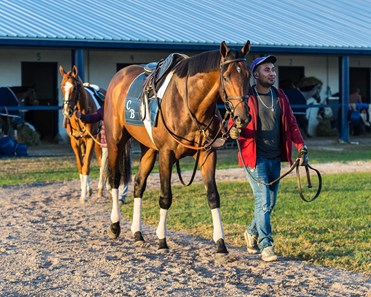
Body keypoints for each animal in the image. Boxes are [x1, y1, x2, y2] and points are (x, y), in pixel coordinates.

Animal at [59, 66, 104, 202]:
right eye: (62, 86)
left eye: (74, 87)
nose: (67, 111)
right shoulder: (75, 142)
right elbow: (81, 165)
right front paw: (85, 191)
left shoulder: (90, 140)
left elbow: (86, 166)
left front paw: (83, 196)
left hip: (100, 142)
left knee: (102, 162)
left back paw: (102, 189)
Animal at [104, 40, 253, 256]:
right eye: (226, 77)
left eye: (248, 75)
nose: (243, 117)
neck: (187, 104)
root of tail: (119, 76)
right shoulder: (166, 154)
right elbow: (165, 197)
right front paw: (161, 239)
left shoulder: (208, 154)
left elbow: (213, 196)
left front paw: (220, 243)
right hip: (116, 141)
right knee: (115, 179)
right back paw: (115, 226)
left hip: (148, 149)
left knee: (139, 184)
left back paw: (137, 232)